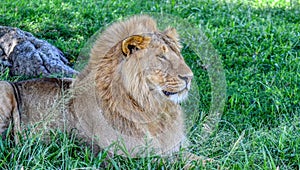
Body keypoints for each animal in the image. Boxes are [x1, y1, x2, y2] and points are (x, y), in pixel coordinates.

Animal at [1, 15, 203, 162]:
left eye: (178, 54)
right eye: (161, 56)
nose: (190, 77)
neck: (150, 105)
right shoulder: (125, 157)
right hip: (6, 88)